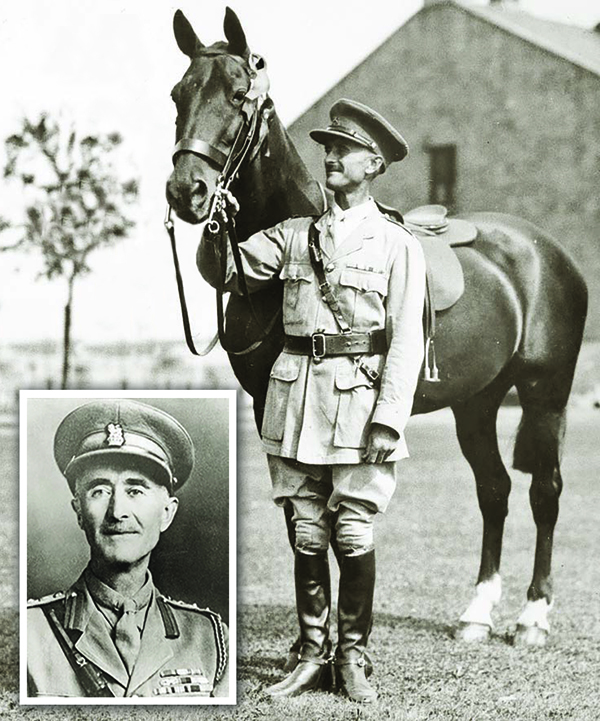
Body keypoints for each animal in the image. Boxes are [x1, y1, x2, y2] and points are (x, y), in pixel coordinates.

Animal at [165, 8, 588, 647]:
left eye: (239, 96)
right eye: (178, 94)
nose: (186, 192)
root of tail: (547, 251)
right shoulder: (272, 407)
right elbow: (301, 520)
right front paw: (312, 643)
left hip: (545, 393)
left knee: (546, 492)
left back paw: (532, 617)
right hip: (478, 402)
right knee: (495, 491)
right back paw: (477, 614)